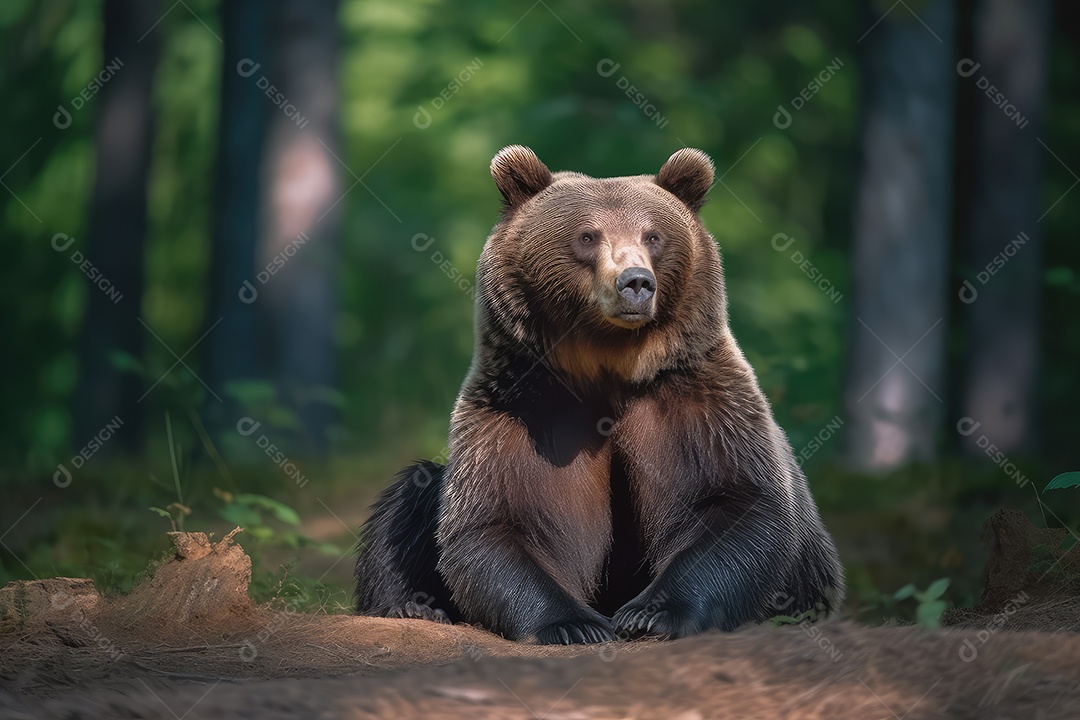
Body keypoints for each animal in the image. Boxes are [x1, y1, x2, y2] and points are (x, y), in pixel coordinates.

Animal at [355, 145, 844, 644]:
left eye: (653, 236)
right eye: (588, 236)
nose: (636, 282)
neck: (611, 366)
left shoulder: (697, 401)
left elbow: (736, 500)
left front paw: (651, 613)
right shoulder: (522, 405)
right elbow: (499, 520)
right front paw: (573, 623)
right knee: (410, 495)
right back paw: (412, 605)